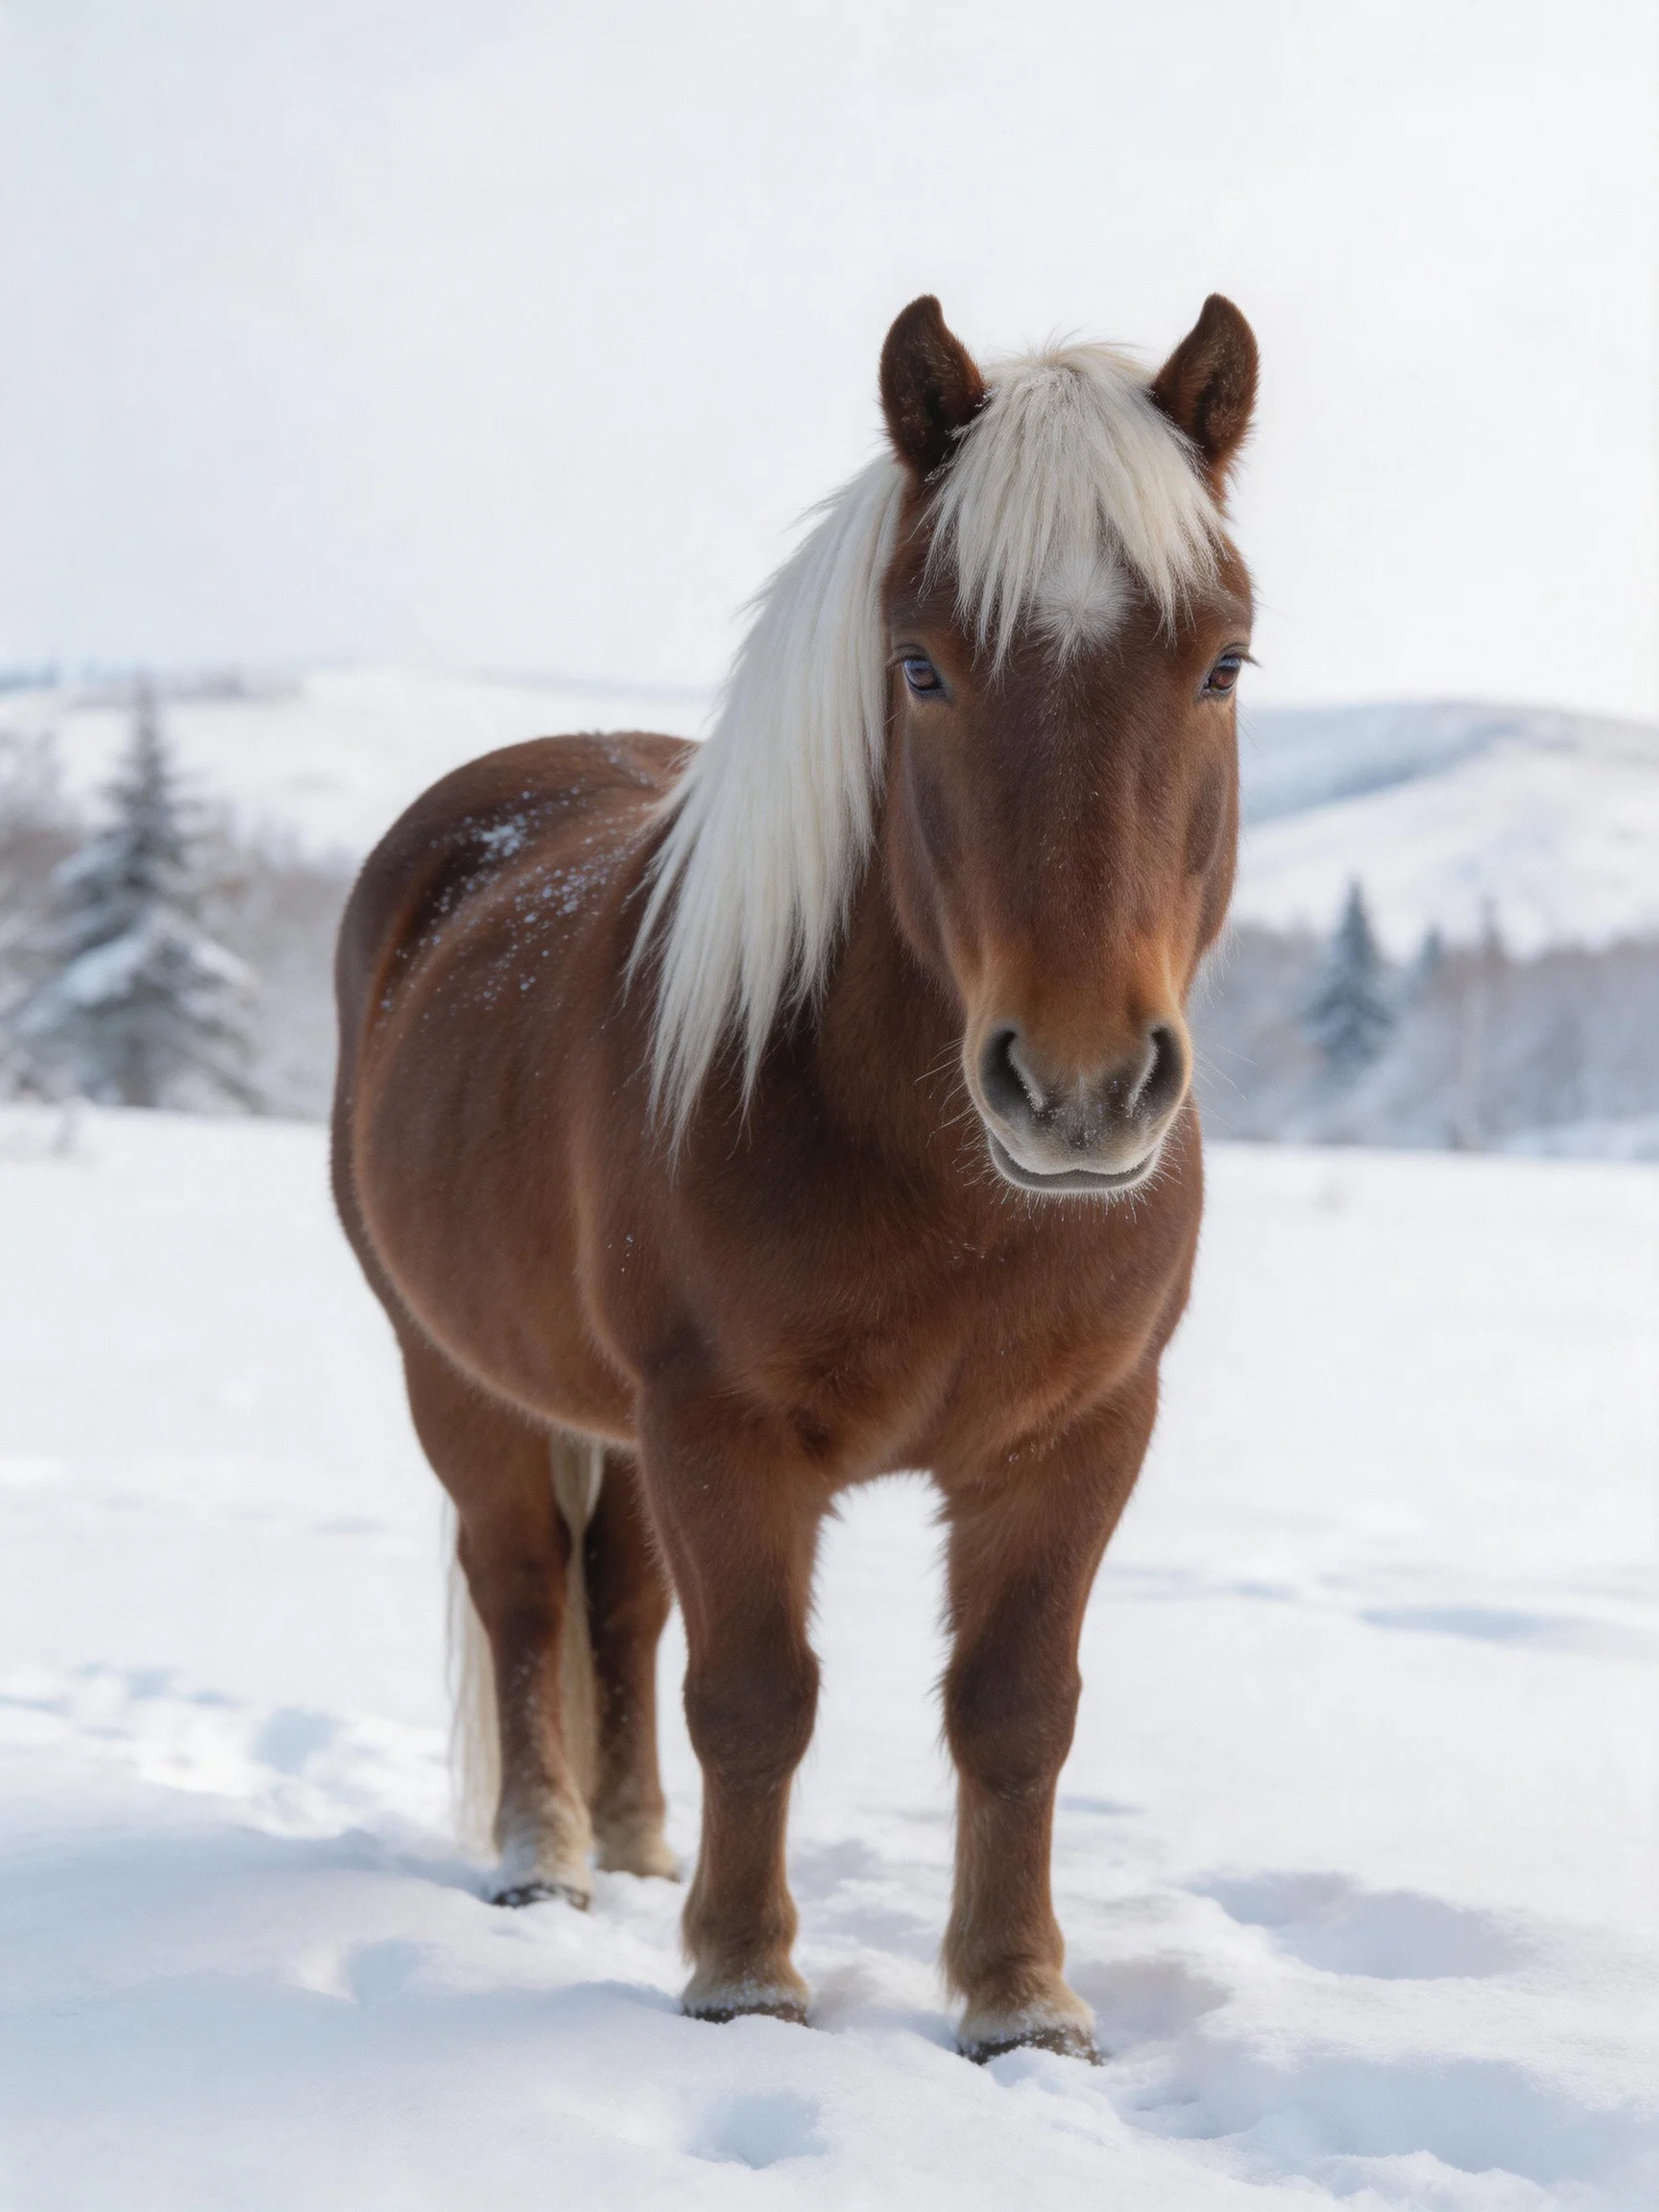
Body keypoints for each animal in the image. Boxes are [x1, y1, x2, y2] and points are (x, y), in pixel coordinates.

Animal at [332, 291, 1257, 2062]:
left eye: (1224, 662)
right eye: (922, 666)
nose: (1081, 1084)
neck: (941, 1179)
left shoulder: (1080, 1434)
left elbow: (1016, 1708)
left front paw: (1019, 2001)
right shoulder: (723, 1429)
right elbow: (756, 1695)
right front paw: (746, 1981)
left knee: (618, 1598)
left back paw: (636, 1844)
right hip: (453, 1373)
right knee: (525, 1588)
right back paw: (546, 1859)